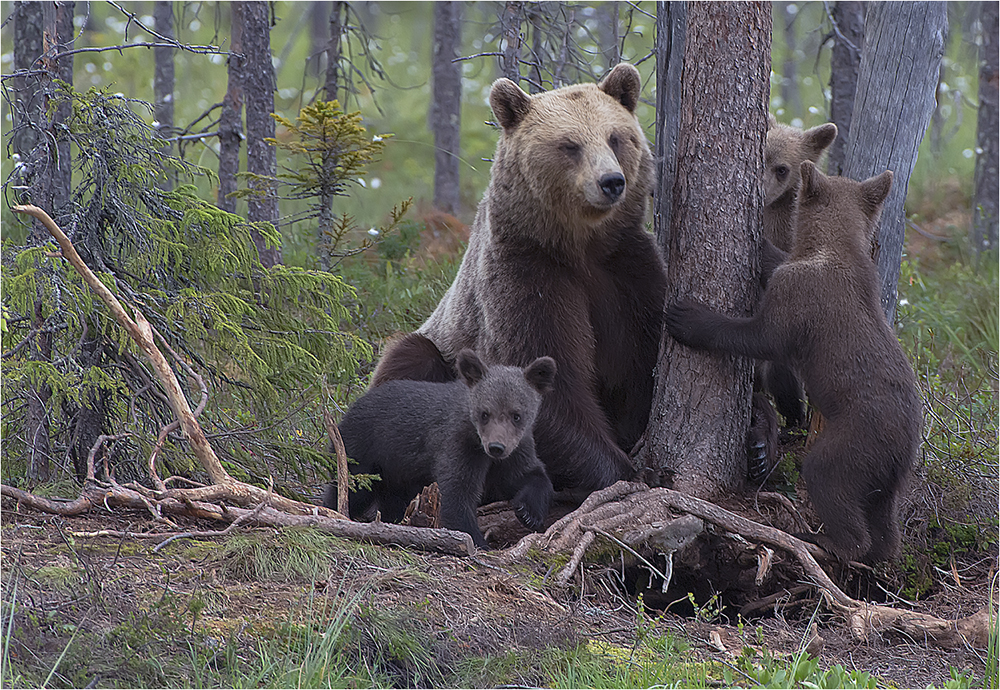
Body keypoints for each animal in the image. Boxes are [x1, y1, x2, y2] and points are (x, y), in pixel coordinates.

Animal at [372, 64, 668, 492]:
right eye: (569, 145)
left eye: (616, 137)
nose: (611, 181)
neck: (580, 246)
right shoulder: (526, 273)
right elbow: (547, 380)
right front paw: (627, 471)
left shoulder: (627, 271)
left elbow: (644, 358)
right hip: (440, 346)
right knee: (408, 360)